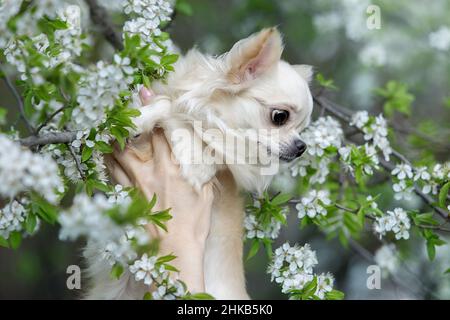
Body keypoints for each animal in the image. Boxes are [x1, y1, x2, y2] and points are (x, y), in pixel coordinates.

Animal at [86, 27, 314, 300]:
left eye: (302, 128)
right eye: (280, 117)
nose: (302, 146)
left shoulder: (202, 164)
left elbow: (170, 110)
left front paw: (146, 121)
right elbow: (161, 104)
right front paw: (132, 118)